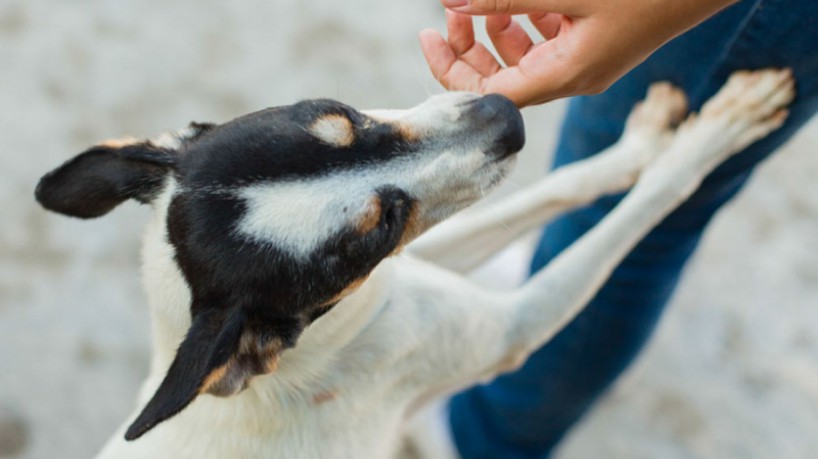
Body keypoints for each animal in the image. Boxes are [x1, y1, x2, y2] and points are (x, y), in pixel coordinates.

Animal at [33, 69, 792, 459]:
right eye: (379, 227)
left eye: (339, 114)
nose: (508, 114)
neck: (327, 346)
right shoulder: (508, 325)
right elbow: (644, 208)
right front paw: (713, 136)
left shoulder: (409, 275)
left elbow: (565, 183)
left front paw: (640, 142)